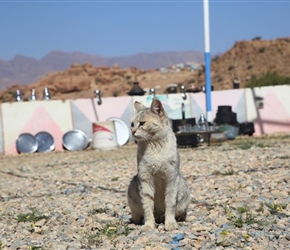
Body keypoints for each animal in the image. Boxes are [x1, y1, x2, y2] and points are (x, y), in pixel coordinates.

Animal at [127, 98, 190, 230]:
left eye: (142, 123)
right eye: (132, 124)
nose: (133, 132)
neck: (154, 146)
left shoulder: (172, 178)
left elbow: (170, 204)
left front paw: (170, 223)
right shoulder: (145, 179)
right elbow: (147, 206)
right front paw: (148, 225)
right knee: (137, 216)